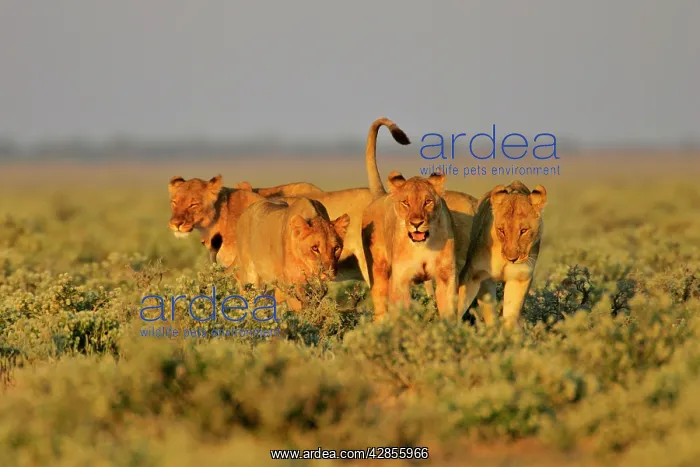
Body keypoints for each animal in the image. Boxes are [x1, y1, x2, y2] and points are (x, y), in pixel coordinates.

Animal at [361, 171, 458, 321]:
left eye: (427, 202)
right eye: (406, 203)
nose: (416, 223)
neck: (423, 246)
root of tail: (380, 196)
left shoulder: (446, 275)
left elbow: (448, 312)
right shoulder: (400, 280)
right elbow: (401, 314)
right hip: (378, 273)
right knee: (380, 309)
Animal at [457, 180, 547, 329]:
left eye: (523, 230)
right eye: (501, 230)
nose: (512, 259)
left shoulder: (519, 278)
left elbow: (511, 314)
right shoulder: (477, 275)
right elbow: (459, 303)